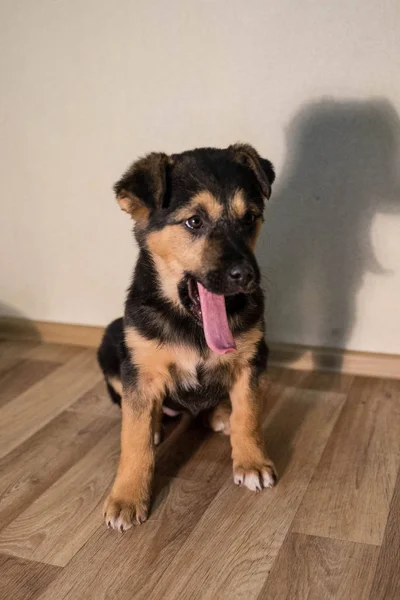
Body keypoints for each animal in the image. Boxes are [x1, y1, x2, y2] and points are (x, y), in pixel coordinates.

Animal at [98, 142, 276, 528]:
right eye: (194, 221)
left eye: (250, 218)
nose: (246, 277)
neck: (191, 324)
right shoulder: (140, 371)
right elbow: (133, 440)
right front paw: (127, 497)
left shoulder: (252, 361)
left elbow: (249, 414)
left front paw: (252, 462)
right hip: (110, 344)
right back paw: (154, 424)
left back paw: (220, 413)